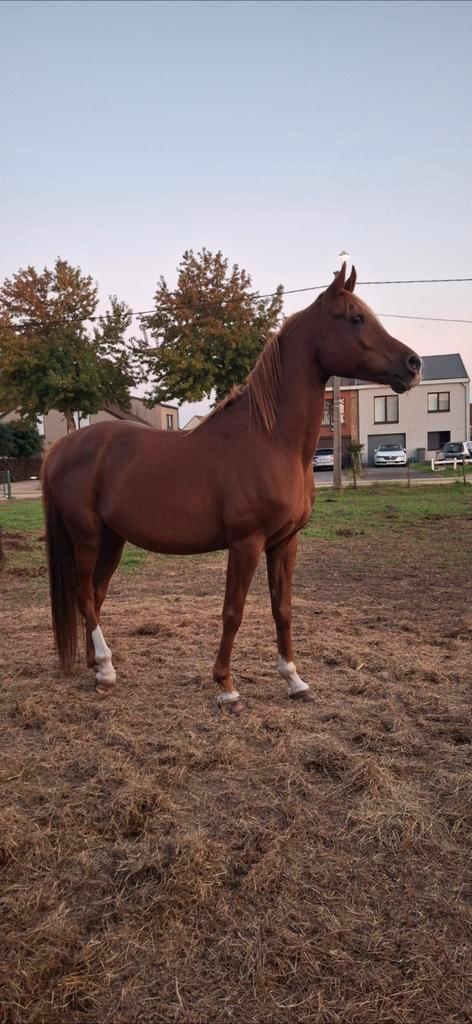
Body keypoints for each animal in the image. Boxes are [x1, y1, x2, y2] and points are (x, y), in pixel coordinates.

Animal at [41, 264, 421, 706]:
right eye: (355, 318)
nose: (413, 364)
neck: (270, 440)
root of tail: (62, 448)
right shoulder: (246, 542)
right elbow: (233, 611)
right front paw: (225, 685)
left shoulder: (284, 542)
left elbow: (282, 609)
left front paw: (294, 680)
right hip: (86, 536)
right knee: (84, 592)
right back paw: (104, 668)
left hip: (112, 539)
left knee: (96, 593)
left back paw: (95, 664)